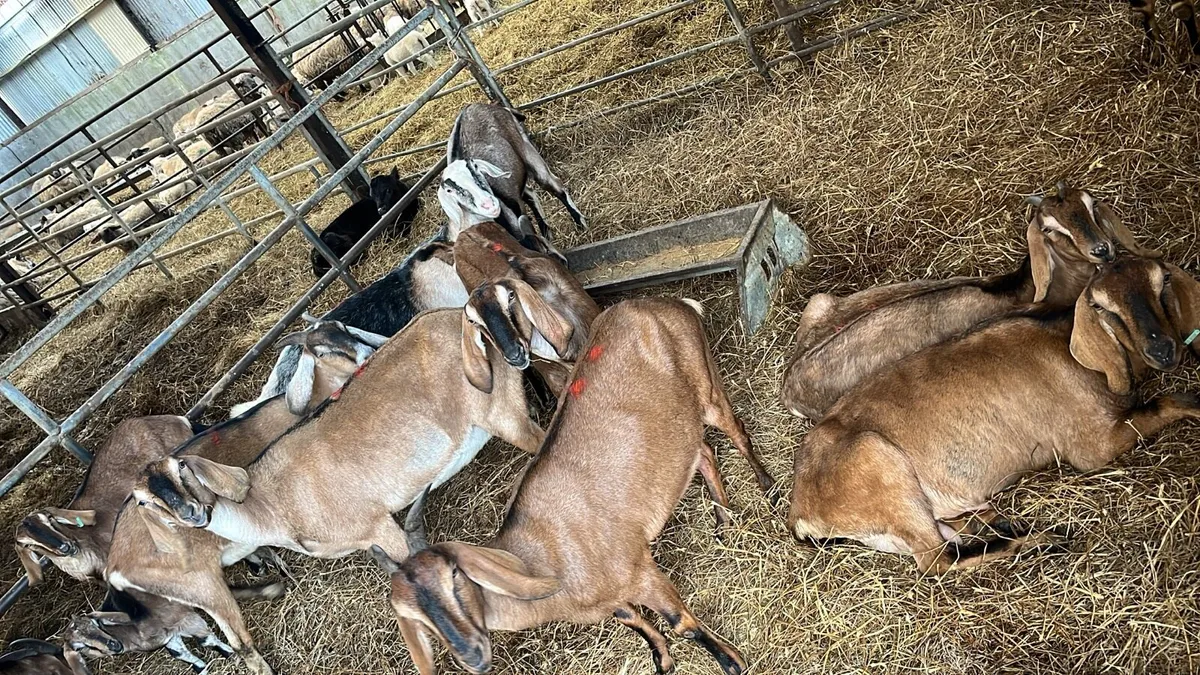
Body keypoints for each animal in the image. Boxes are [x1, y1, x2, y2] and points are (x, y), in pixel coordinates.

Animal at [134, 306, 544, 568]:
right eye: (143, 502)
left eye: (182, 469)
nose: (190, 514)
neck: (273, 504)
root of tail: (462, 315)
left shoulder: (377, 525)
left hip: (501, 413)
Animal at [386, 298, 774, 675]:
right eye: (410, 615)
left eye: (454, 575)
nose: (472, 654)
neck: (543, 557)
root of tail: (664, 302)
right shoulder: (604, 604)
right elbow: (633, 620)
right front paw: (662, 658)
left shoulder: (638, 570)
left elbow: (682, 623)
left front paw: (733, 663)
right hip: (680, 425)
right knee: (704, 453)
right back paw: (723, 521)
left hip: (705, 383)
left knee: (736, 430)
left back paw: (767, 487)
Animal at [442, 104, 587, 246]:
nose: (489, 204)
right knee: (529, 193)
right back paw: (547, 232)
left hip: (527, 152)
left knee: (554, 185)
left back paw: (581, 223)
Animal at [780, 184, 1159, 420]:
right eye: (1051, 229)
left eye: (1091, 206)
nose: (1102, 250)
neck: (1023, 287)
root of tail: (788, 386)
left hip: (820, 301)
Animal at [787, 257, 1200, 574]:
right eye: (1103, 307)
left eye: (1161, 282)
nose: (1163, 349)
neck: (1069, 348)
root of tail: (801, 511)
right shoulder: (1092, 444)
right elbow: (1164, 403)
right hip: (883, 471)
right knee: (938, 562)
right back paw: (1039, 540)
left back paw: (994, 520)